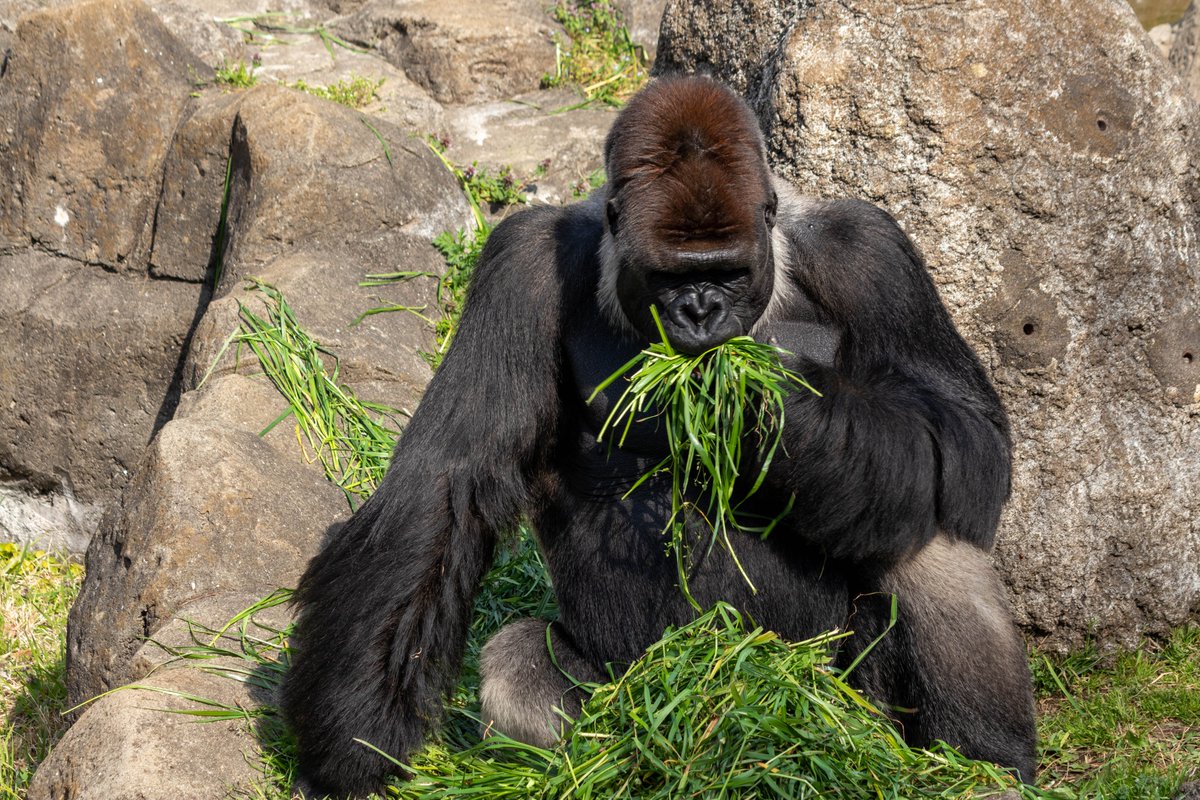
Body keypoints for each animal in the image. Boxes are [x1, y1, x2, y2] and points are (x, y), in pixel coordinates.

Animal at [276, 73, 1036, 796]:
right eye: (672, 277)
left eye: (728, 271)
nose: (700, 314)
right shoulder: (520, 262)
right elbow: (447, 479)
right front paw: (351, 745)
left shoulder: (868, 249)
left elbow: (969, 434)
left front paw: (778, 404)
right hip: (627, 689)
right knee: (525, 662)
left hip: (852, 697)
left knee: (929, 513)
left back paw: (980, 762)